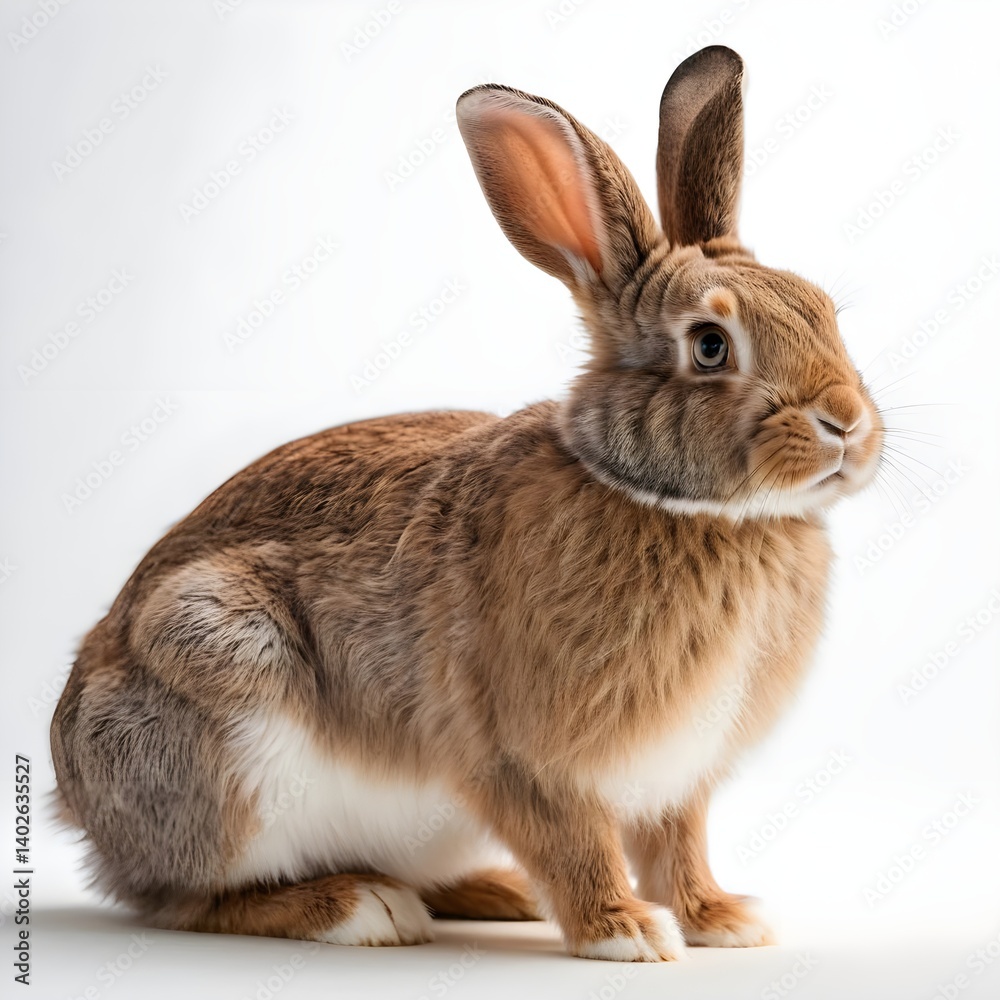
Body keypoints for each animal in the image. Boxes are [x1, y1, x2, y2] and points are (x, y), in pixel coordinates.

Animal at [51, 45, 883, 962]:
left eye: (823, 310)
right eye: (709, 346)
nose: (848, 423)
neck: (676, 504)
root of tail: (77, 803)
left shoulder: (678, 778)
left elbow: (680, 846)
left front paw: (724, 921)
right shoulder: (522, 757)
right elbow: (575, 841)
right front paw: (625, 932)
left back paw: (496, 893)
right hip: (219, 691)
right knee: (187, 898)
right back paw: (361, 909)